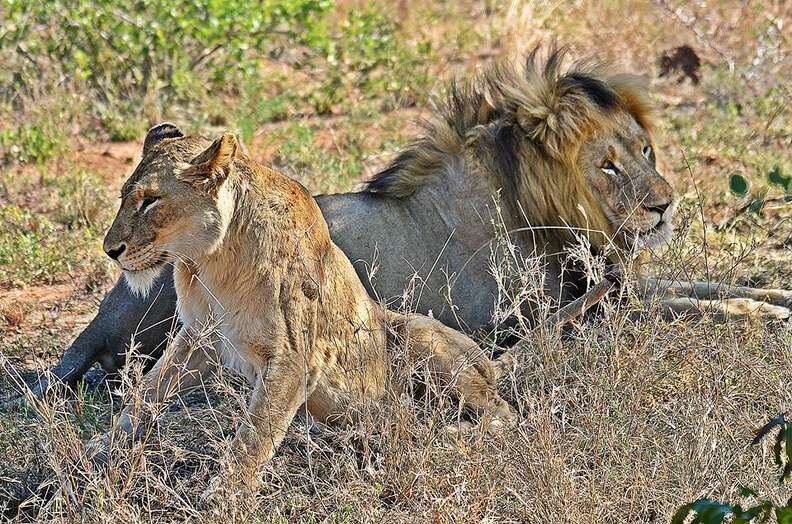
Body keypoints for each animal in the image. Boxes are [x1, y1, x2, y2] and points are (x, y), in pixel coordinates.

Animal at [34, 47, 788, 396]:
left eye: (646, 151)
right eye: (607, 166)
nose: (664, 203)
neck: (542, 211)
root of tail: (107, 305)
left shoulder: (612, 288)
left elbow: (706, 290)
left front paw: (771, 297)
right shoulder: (560, 315)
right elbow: (691, 307)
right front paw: (765, 318)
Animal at [89, 125, 512, 498]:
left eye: (150, 200)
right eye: (124, 196)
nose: (110, 250)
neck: (210, 260)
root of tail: (492, 365)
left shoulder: (292, 356)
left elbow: (256, 432)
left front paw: (225, 493)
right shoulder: (200, 335)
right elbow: (148, 390)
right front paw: (104, 445)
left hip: (418, 332)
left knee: (500, 414)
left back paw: (428, 431)